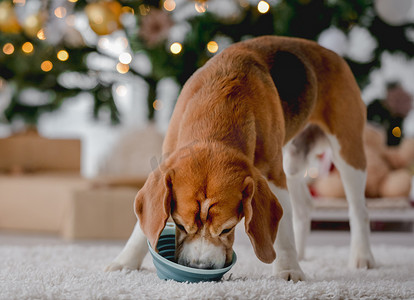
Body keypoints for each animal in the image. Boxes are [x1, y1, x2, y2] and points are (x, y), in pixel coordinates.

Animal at [106, 35, 376, 282]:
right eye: (180, 225)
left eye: (227, 228)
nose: (200, 268)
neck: (215, 118)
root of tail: (330, 52)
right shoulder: (166, 162)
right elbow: (141, 229)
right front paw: (125, 262)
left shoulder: (274, 178)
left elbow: (283, 231)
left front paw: (288, 269)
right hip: (292, 160)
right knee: (304, 206)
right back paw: (302, 252)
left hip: (347, 151)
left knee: (358, 209)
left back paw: (362, 257)